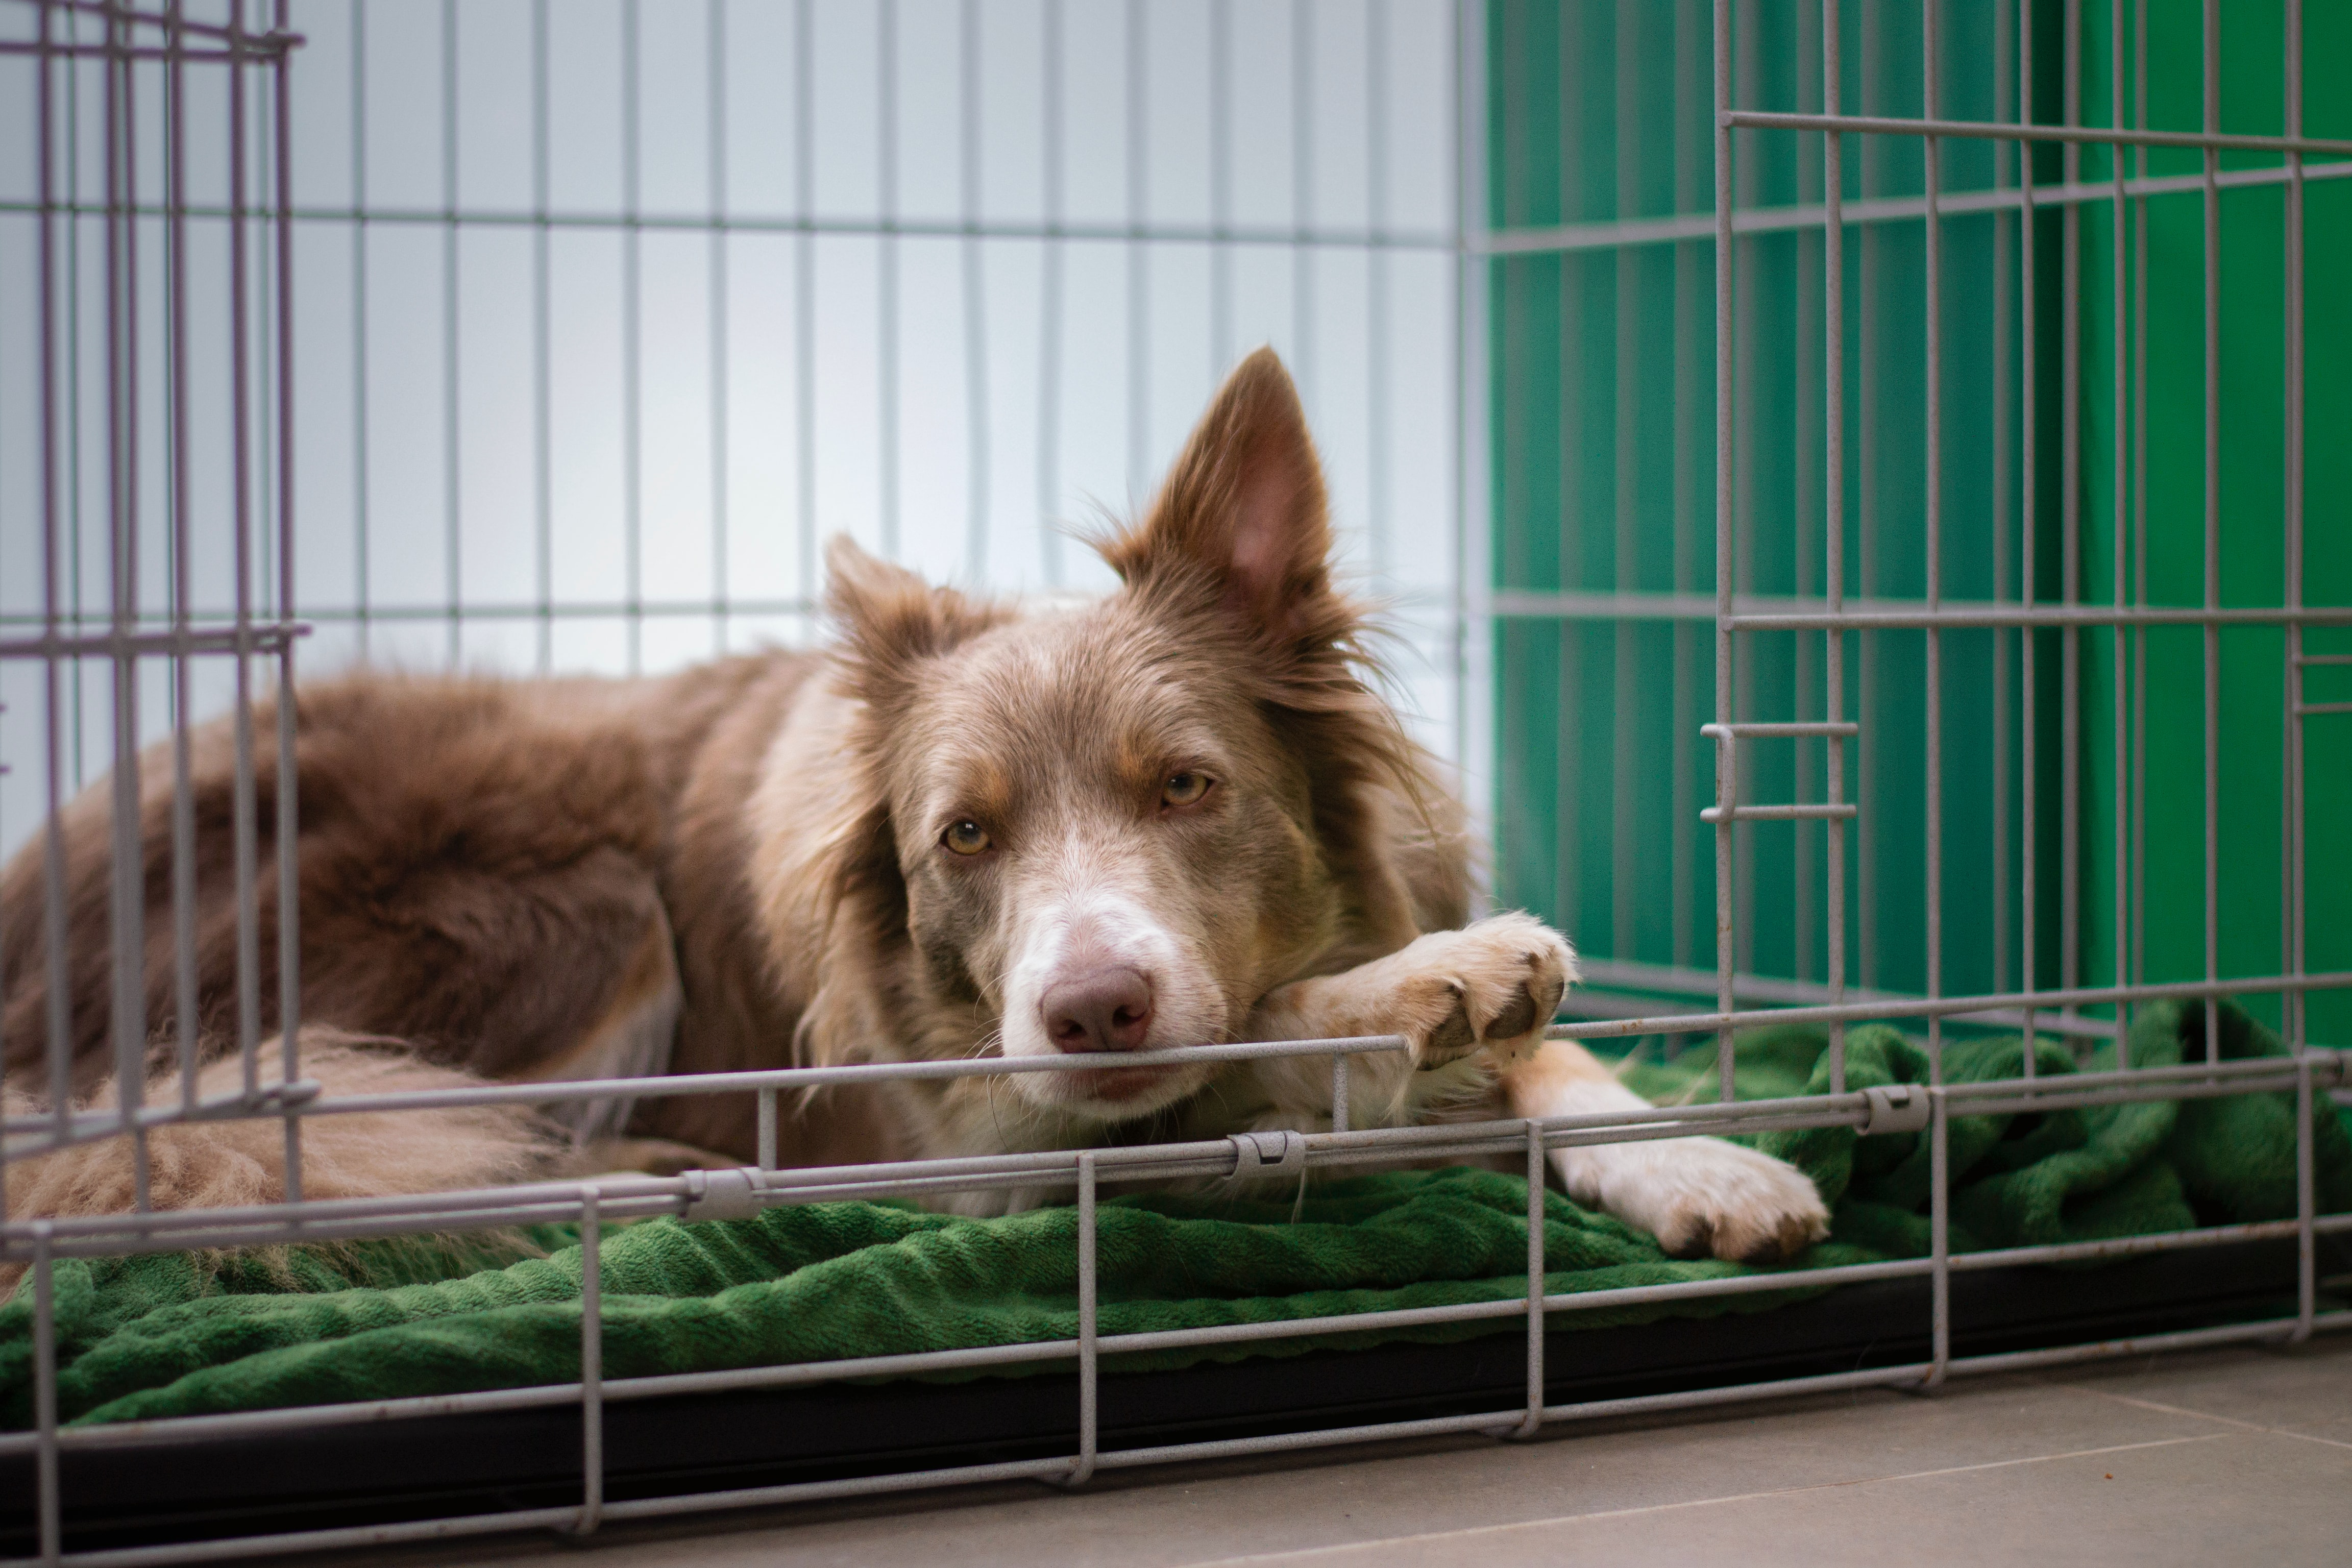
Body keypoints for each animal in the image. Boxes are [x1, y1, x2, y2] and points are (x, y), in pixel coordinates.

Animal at [0, 350, 1825, 1269]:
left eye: (1188, 786)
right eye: (965, 837)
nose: (1092, 1006)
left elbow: (1560, 1060)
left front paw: (1701, 1154)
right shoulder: (985, 1138)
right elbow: (1249, 1045)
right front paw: (1427, 991)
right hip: (571, 904)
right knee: (348, 1155)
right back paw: (646, 1180)